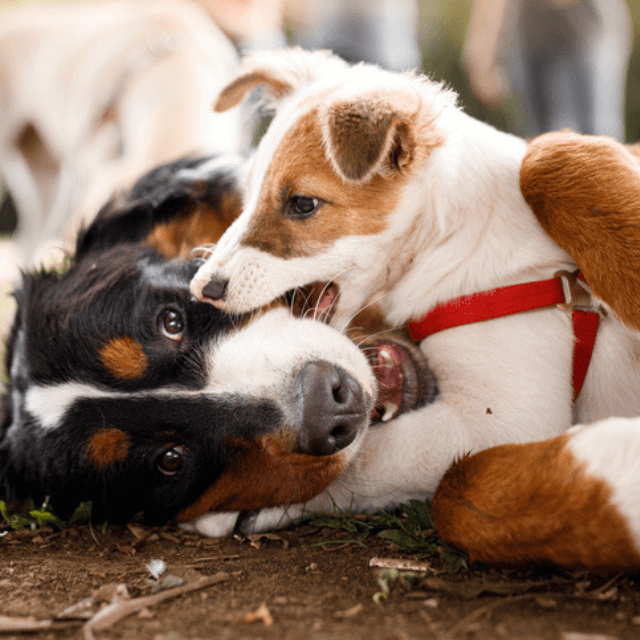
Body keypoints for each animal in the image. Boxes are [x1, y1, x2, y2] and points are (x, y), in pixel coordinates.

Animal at [186, 50, 640, 568]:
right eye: (247, 196)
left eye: (302, 203)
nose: (202, 288)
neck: (456, 238)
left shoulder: (504, 417)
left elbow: (400, 464)